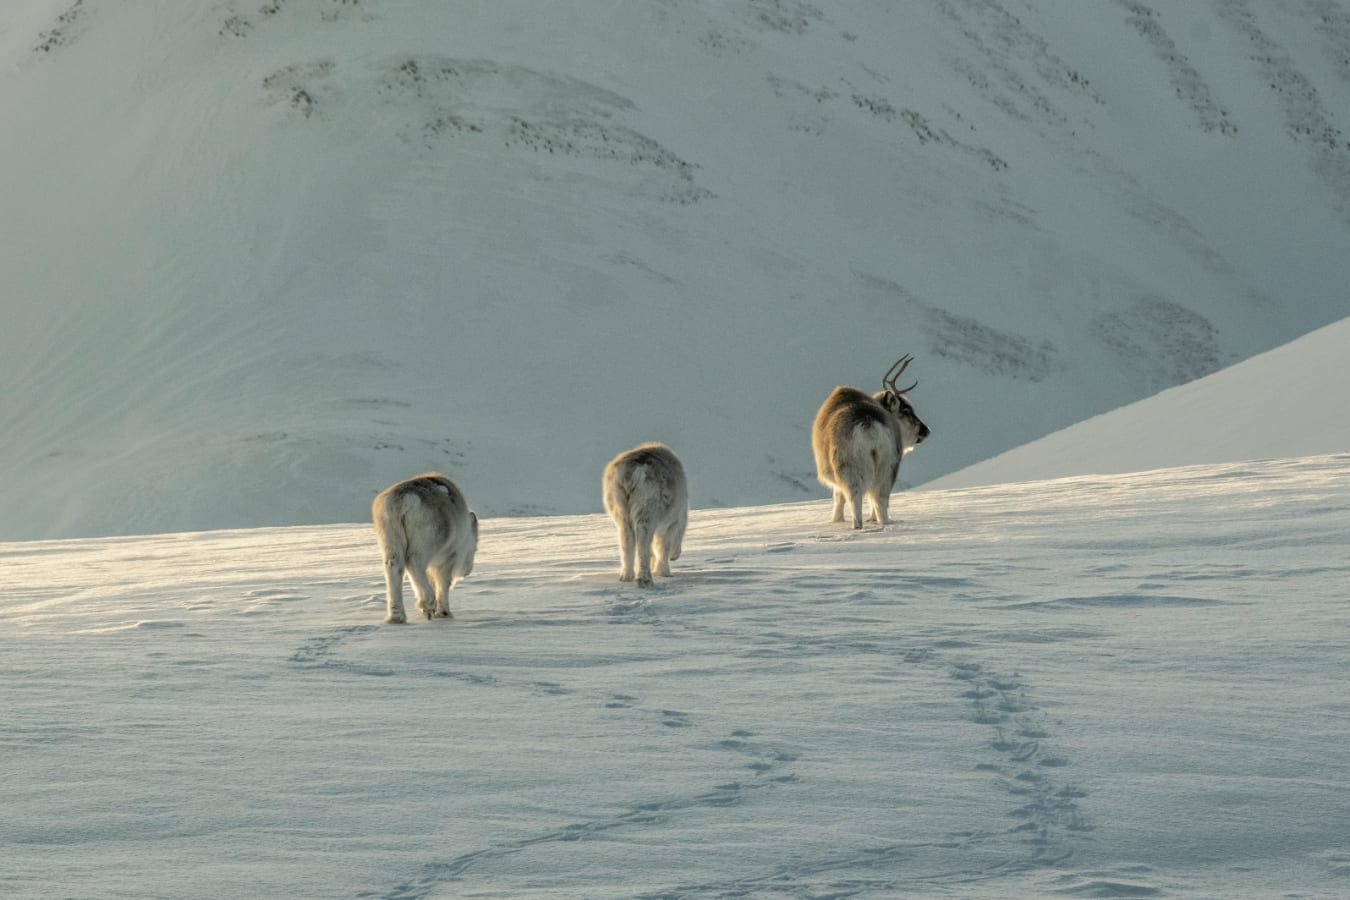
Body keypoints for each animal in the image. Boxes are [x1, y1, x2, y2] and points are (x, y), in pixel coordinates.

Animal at [371, 473, 479, 623]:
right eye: (474, 549)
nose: (467, 572)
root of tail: (404, 498)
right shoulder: (450, 556)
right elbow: (443, 583)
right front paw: (444, 613)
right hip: (428, 542)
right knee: (413, 562)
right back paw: (427, 603)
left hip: (390, 538)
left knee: (394, 568)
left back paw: (397, 616)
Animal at [602, 443, 688, 586]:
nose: (675, 557)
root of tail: (630, 473)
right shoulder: (673, 523)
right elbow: (663, 546)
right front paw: (665, 573)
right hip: (646, 510)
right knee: (643, 544)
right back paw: (645, 580)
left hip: (621, 510)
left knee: (627, 541)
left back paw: (626, 577)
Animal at [812, 355, 931, 529]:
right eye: (906, 410)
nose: (926, 430)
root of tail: (870, 425)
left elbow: (838, 499)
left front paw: (836, 520)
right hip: (888, 467)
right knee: (880, 497)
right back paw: (883, 521)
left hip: (850, 468)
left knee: (855, 498)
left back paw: (857, 525)